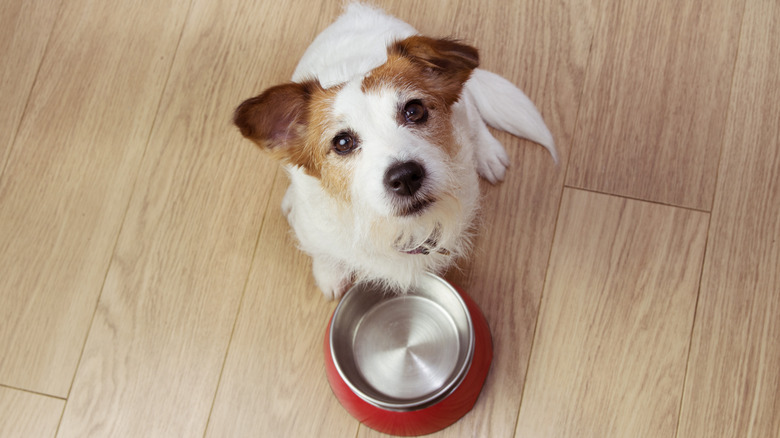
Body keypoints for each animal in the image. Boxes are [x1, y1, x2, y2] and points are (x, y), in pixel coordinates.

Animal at [235, 2, 556, 298]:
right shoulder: (315, 230)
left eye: (414, 110)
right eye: (342, 143)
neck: (393, 229)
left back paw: (488, 153)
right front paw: (329, 274)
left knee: (474, 114)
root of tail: (357, 11)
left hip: (463, 106)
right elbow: (323, 252)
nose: (405, 176)